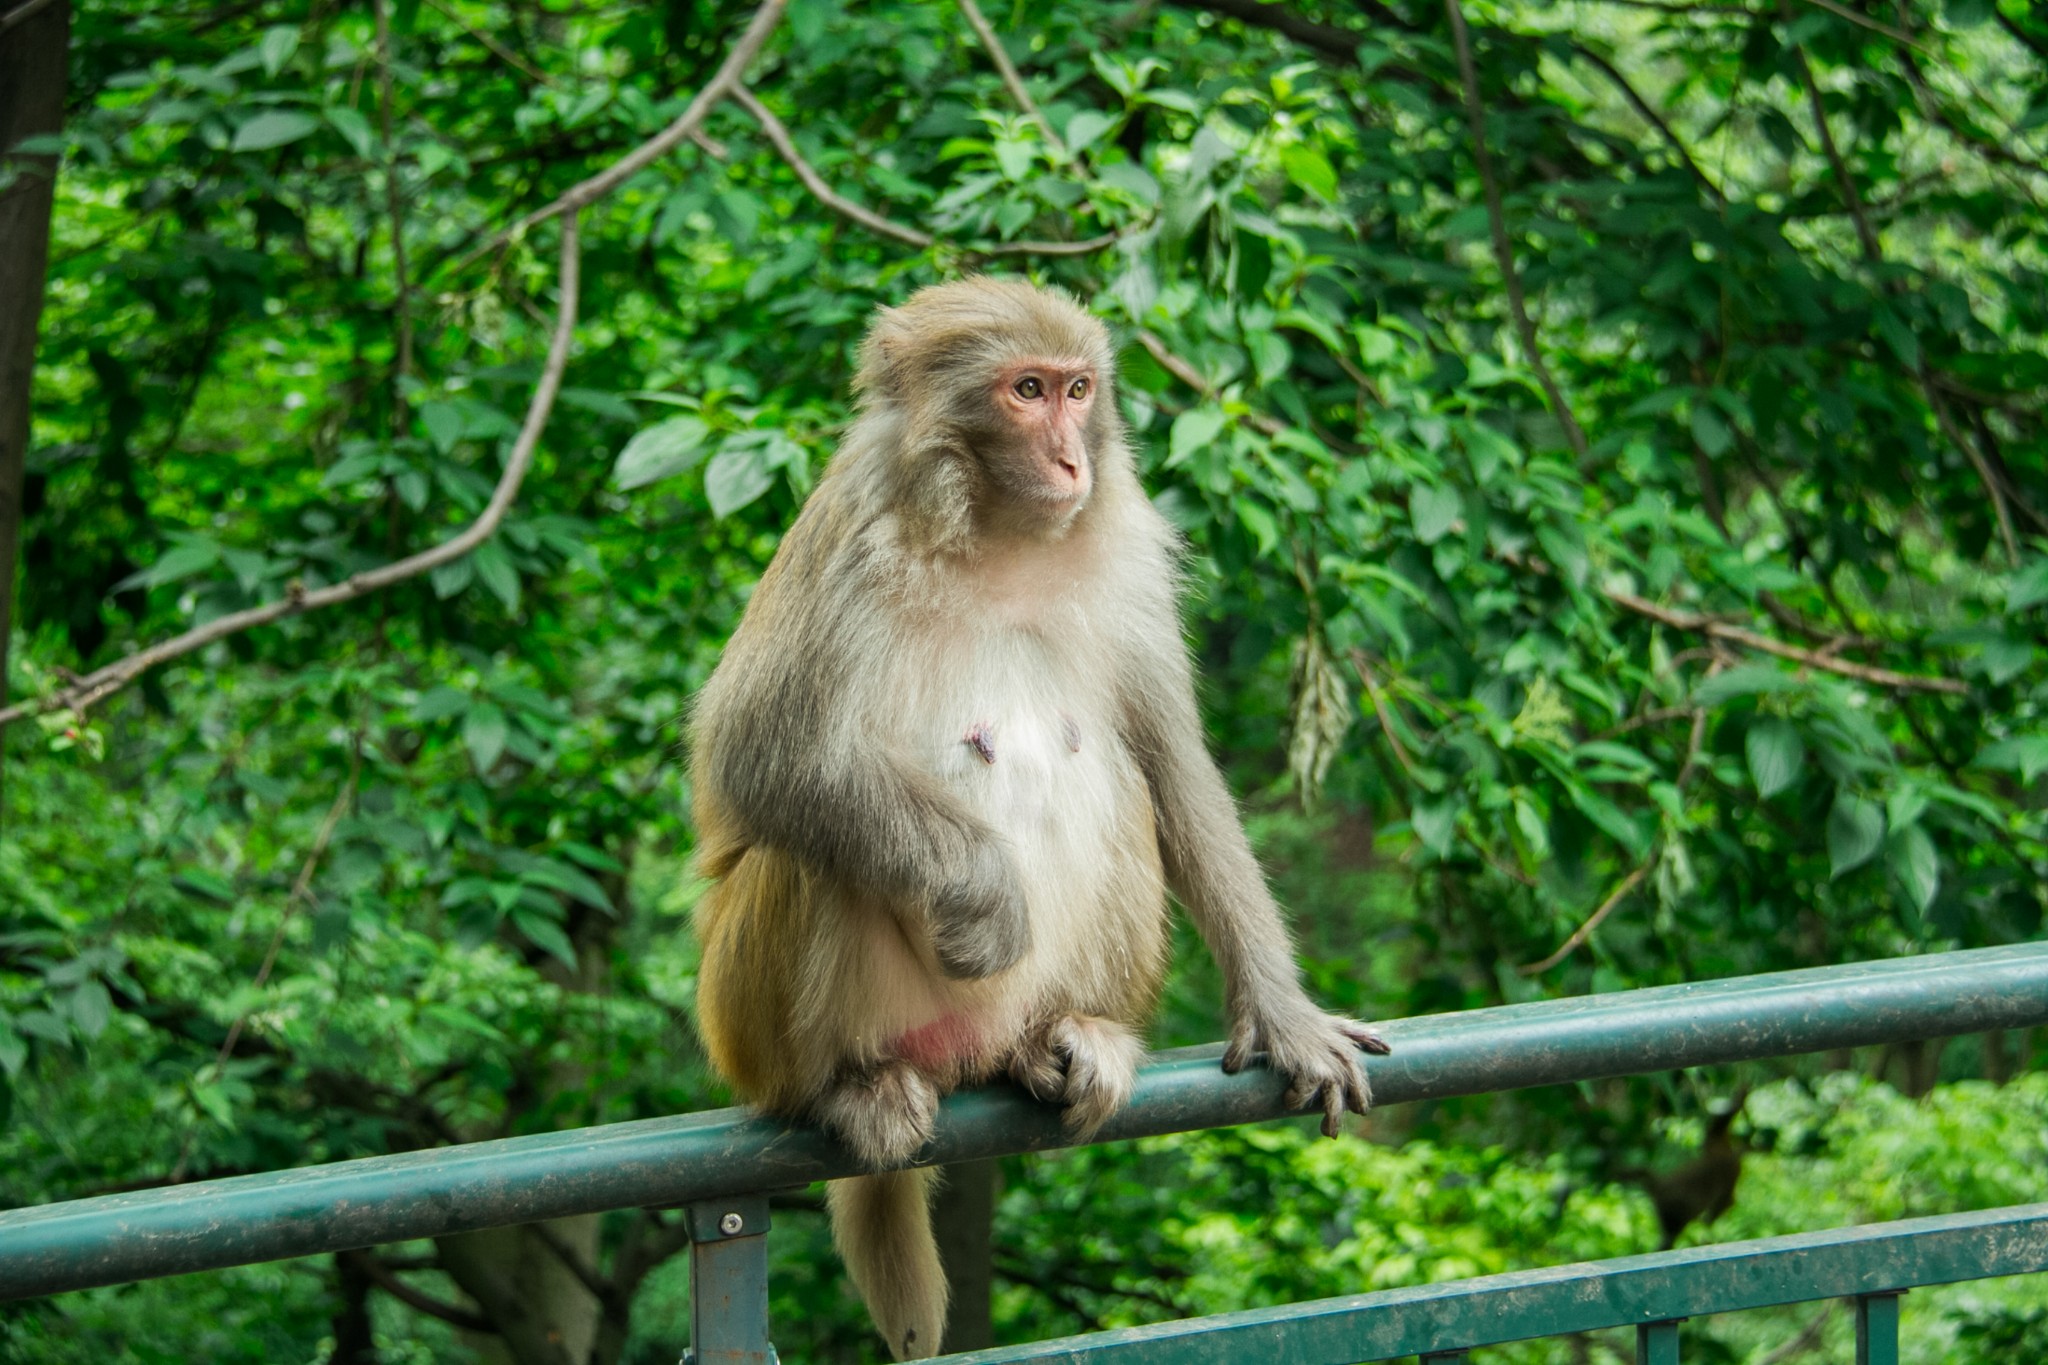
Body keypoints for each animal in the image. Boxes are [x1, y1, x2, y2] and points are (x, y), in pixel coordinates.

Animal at [692, 280, 1392, 1365]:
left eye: (1076, 389)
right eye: (1024, 392)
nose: (1071, 458)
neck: (997, 537)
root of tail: (956, 1051)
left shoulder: (1131, 557)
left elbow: (1170, 761)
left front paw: (1284, 1017)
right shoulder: (847, 533)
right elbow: (759, 754)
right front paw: (983, 895)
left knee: (1117, 777)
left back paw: (1066, 1033)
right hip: (746, 1031)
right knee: (811, 849)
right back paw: (850, 1085)